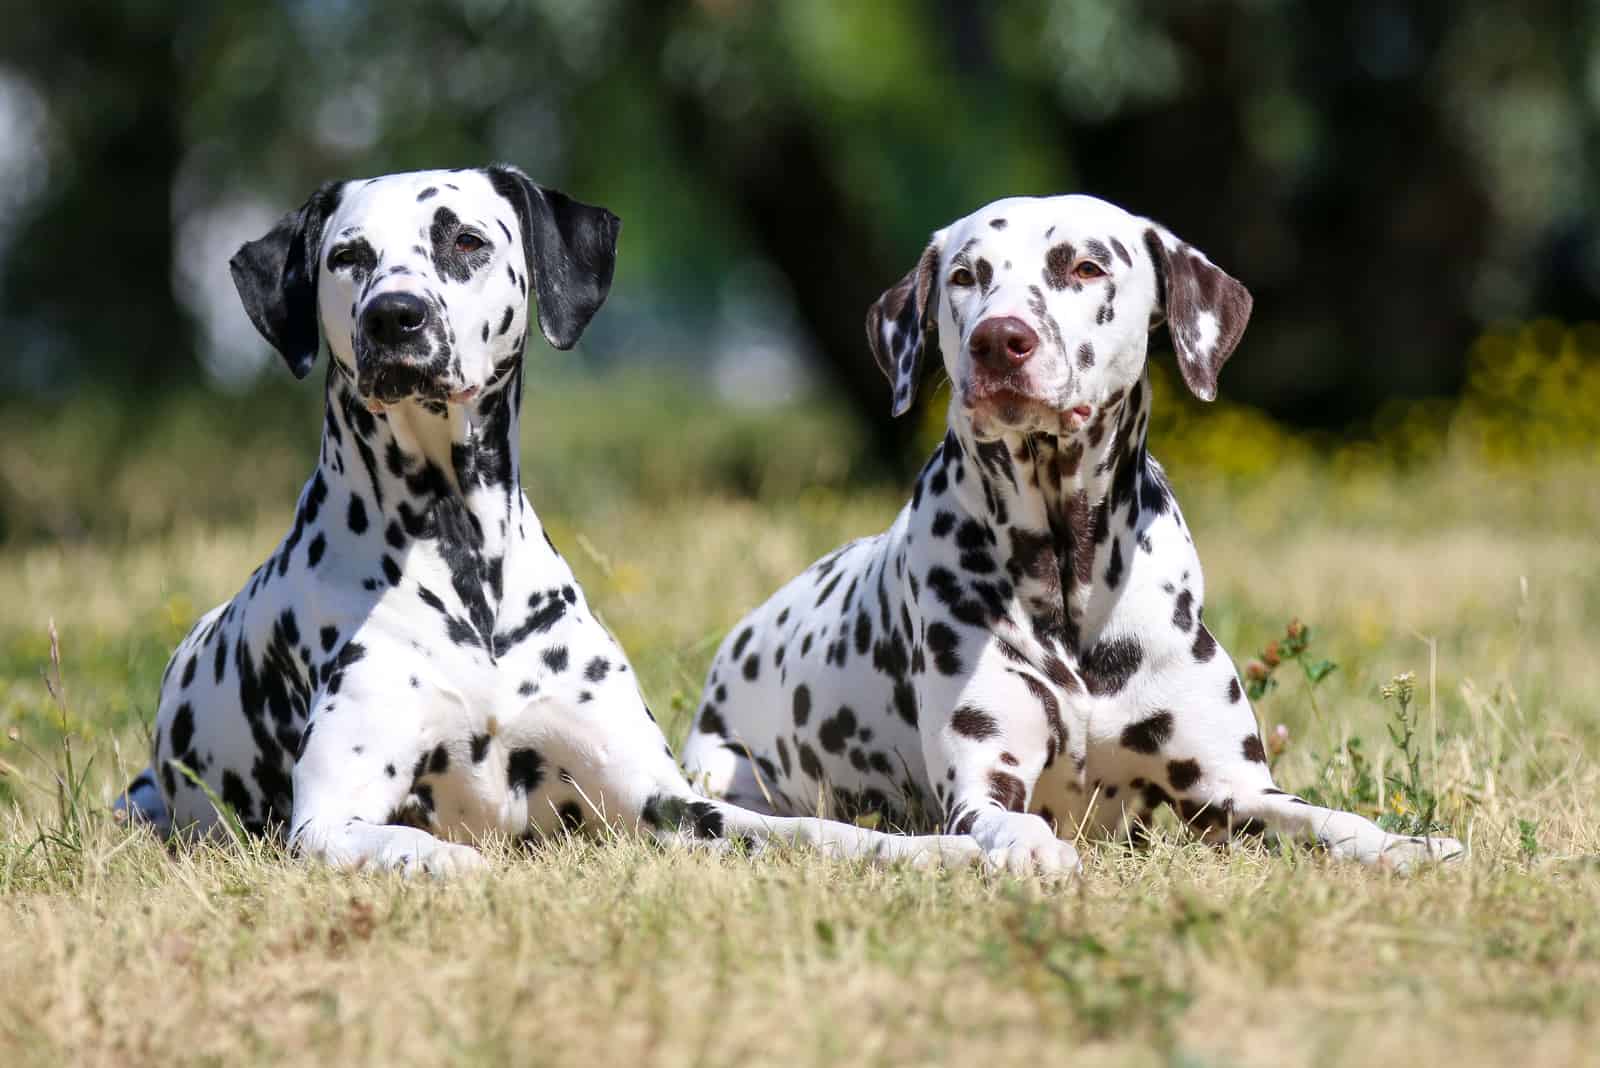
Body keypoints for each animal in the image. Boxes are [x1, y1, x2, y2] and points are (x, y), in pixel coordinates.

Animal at [116, 164, 972, 876]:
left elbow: (814, 832)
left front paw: (938, 851)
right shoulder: (329, 820)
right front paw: (454, 863)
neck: (463, 561)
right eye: (349, 256)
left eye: (464, 240)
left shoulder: (664, 800)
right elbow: (416, 845)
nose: (396, 316)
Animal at [681, 194, 1465, 876]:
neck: (1069, 571)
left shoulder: (1230, 795)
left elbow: (1324, 818)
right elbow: (1004, 819)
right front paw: (1029, 847)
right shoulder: (982, 784)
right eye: (965, 276)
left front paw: (1404, 845)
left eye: (1085, 267)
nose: (999, 340)